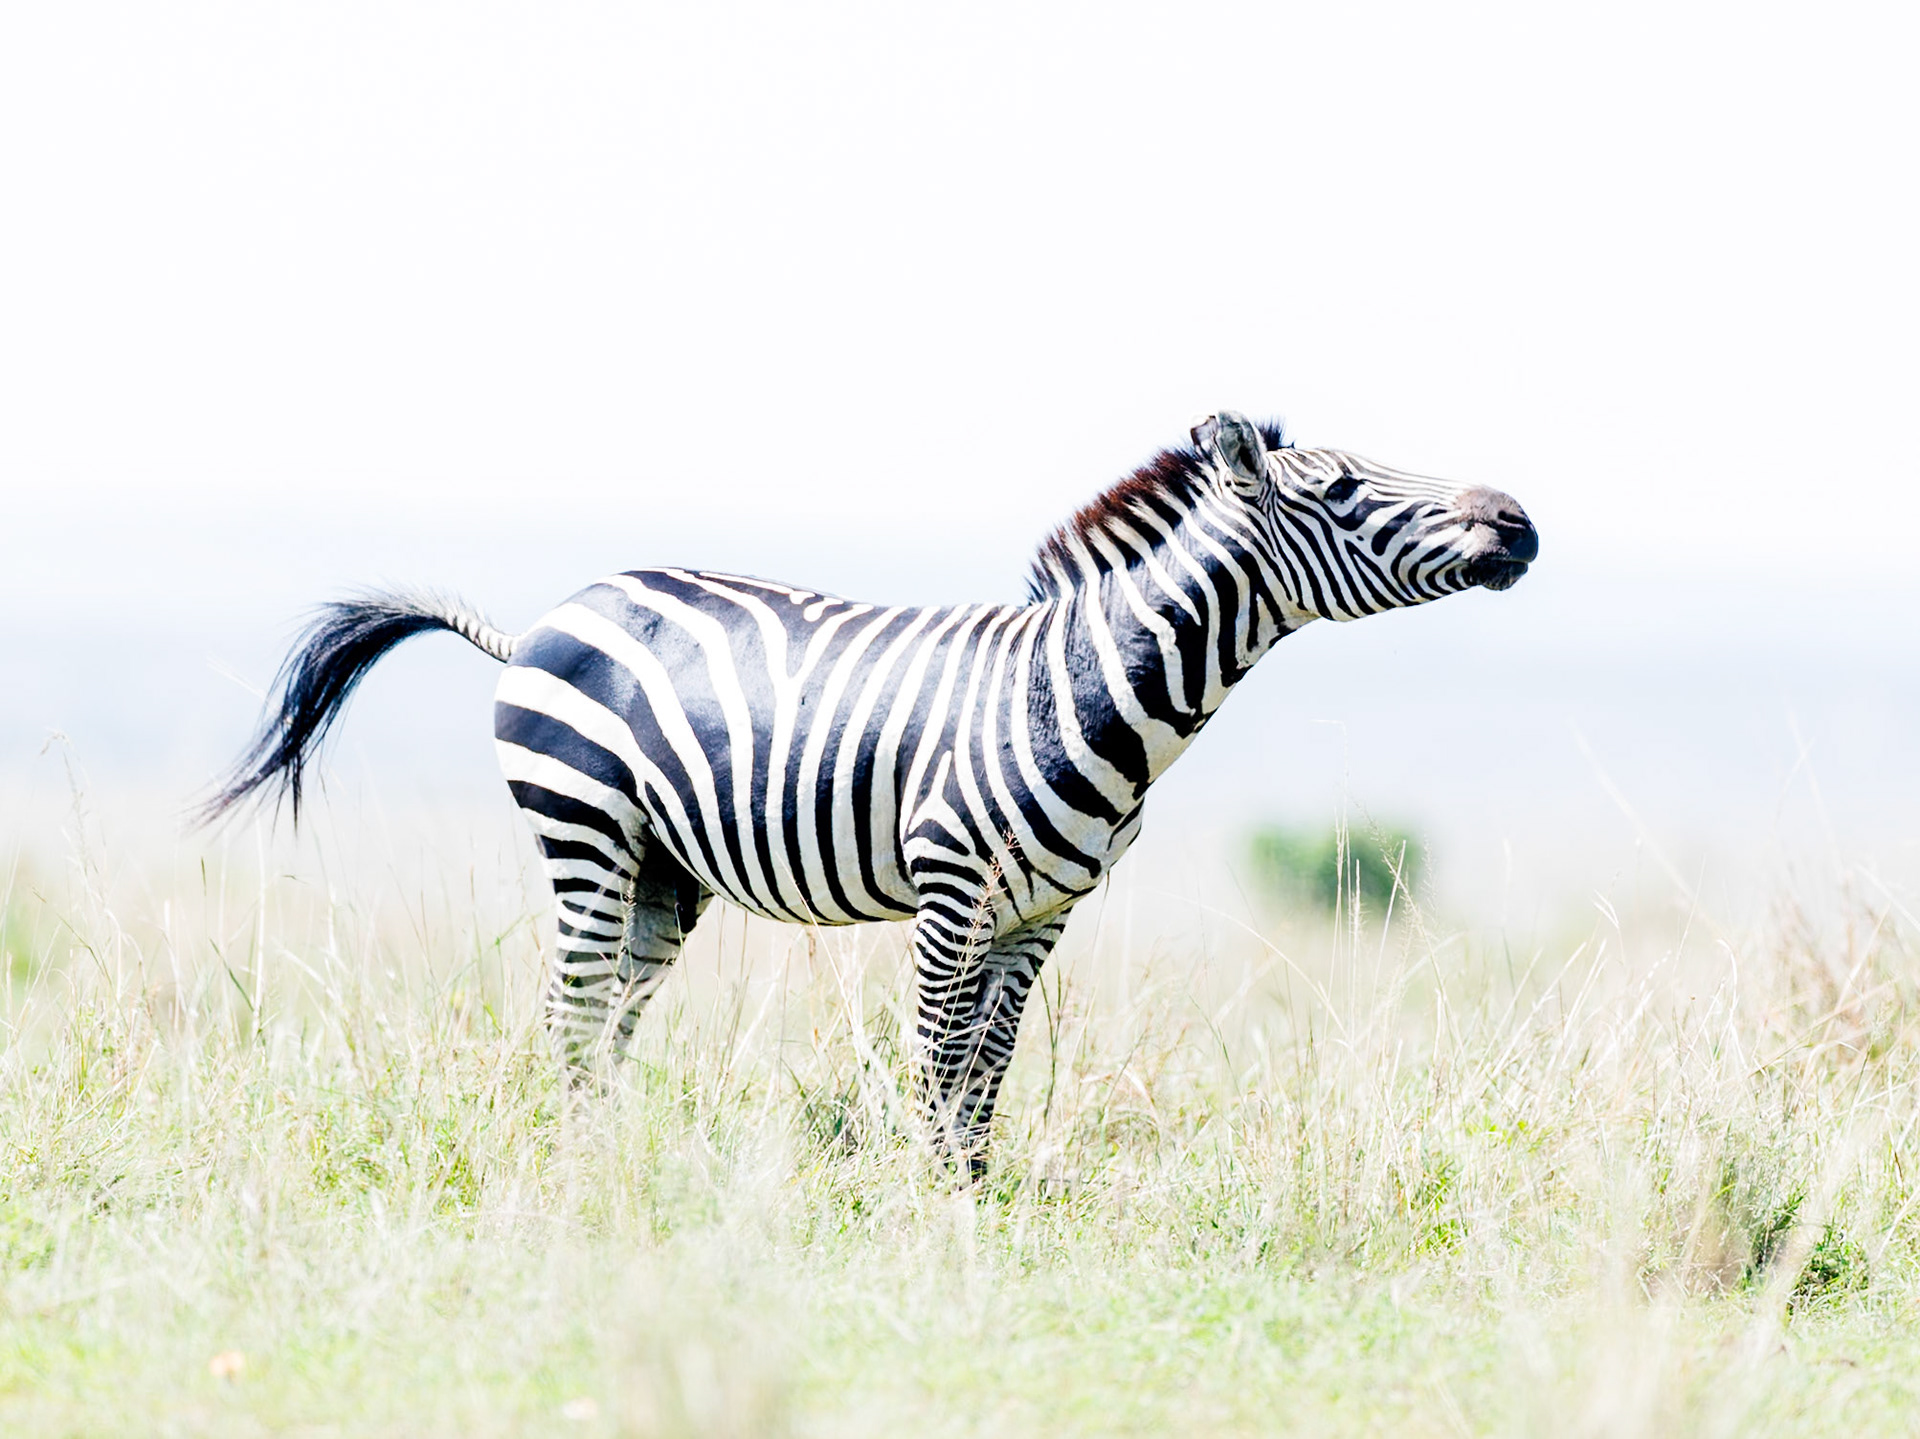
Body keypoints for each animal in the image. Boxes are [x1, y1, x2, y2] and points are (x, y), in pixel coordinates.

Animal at [204, 411, 1538, 1165]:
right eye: (1344, 492)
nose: (1519, 519)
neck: (1091, 685)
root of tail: (542, 617)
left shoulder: (1043, 911)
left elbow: (989, 1064)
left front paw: (973, 1191)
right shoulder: (953, 890)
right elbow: (938, 1054)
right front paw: (924, 1198)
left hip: (663, 874)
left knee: (610, 1013)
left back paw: (611, 1155)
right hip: (583, 826)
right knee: (571, 1009)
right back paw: (576, 1165)